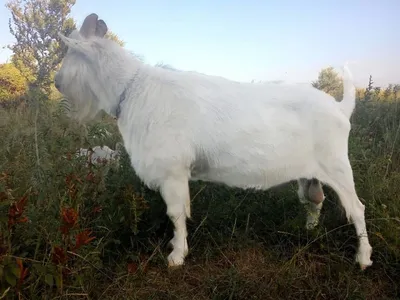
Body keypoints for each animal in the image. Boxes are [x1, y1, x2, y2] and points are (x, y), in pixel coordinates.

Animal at [54, 13, 374, 270]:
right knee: (314, 200)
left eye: (69, 50)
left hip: (337, 167)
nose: (56, 83)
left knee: (357, 208)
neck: (133, 89)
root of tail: (340, 108)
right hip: (310, 172)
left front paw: (177, 256)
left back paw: (363, 258)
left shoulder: (172, 172)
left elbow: (176, 214)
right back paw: (308, 231)